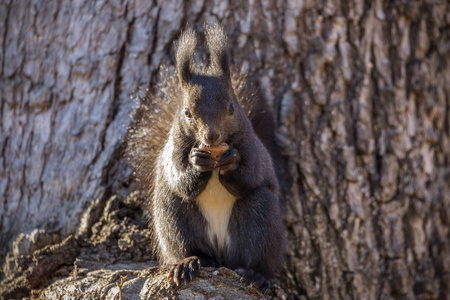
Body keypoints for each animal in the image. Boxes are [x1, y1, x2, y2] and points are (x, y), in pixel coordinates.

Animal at [126, 24, 286, 292]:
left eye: (232, 108)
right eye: (187, 112)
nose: (211, 136)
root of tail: (221, 256)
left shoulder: (252, 146)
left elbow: (251, 174)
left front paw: (232, 161)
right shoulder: (174, 147)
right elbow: (180, 179)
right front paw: (196, 163)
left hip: (262, 218)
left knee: (259, 251)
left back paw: (257, 275)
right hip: (174, 216)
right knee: (189, 242)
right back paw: (189, 262)